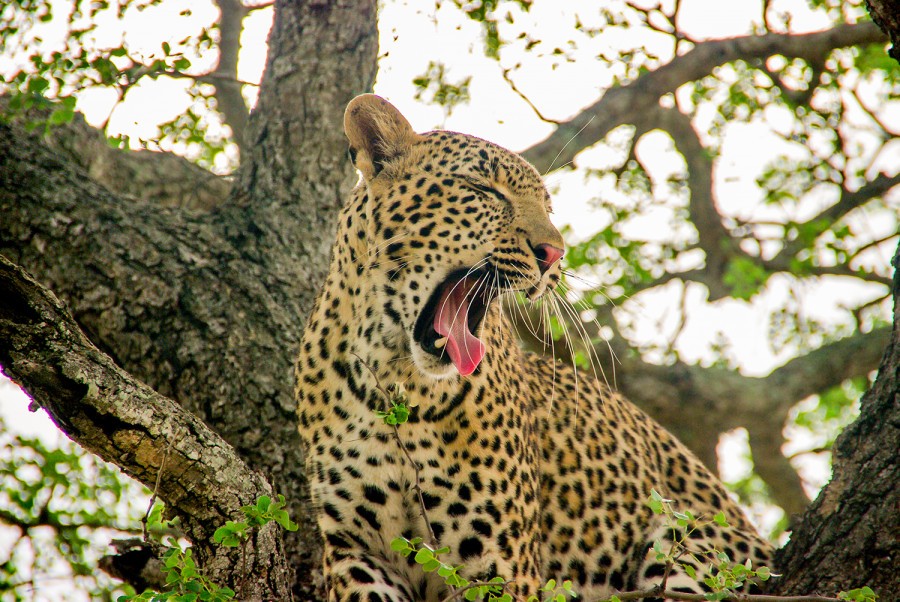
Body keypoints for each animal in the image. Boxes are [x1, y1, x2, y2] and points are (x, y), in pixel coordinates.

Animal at [295, 94, 772, 601]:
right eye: (483, 189)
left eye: (548, 209)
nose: (555, 255)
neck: (394, 377)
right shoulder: (356, 551)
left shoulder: (498, 566)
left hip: (685, 541)